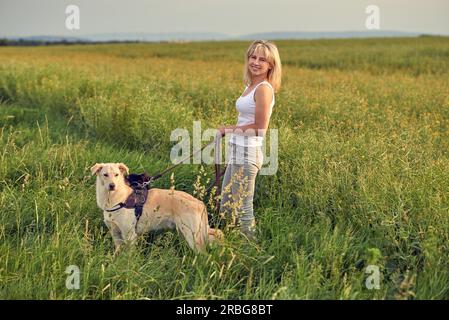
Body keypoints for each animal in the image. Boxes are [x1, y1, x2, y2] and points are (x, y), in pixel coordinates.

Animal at [91, 162, 224, 252]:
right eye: (105, 175)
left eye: (117, 175)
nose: (112, 186)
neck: (116, 199)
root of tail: (199, 203)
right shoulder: (115, 234)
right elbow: (117, 252)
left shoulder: (130, 235)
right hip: (185, 233)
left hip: (193, 238)